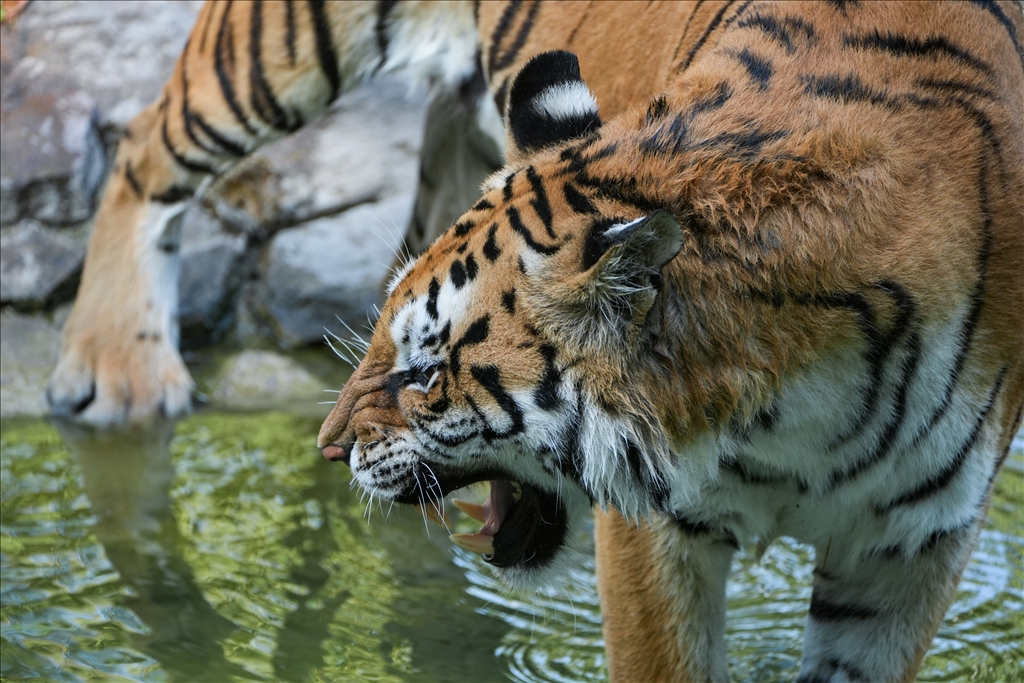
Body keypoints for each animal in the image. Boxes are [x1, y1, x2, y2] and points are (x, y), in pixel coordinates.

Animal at [47, 1, 1023, 681]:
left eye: (425, 369)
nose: (327, 446)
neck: (792, 406)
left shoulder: (913, 546)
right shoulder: (655, 530)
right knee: (148, 146)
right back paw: (116, 371)